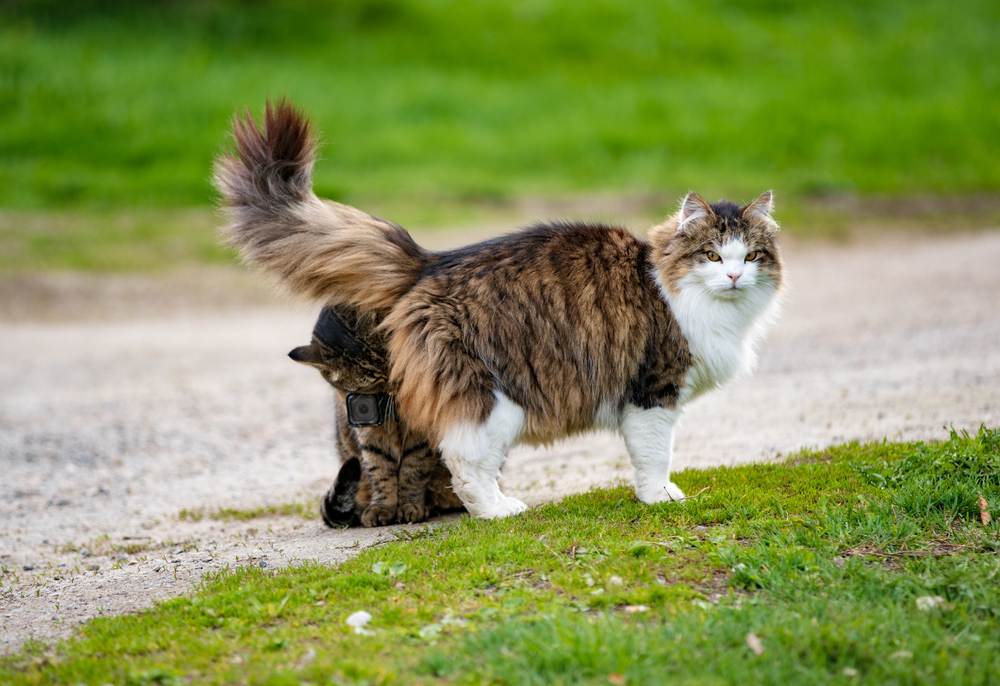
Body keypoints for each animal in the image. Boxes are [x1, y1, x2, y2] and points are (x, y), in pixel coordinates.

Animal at [215, 101, 784, 520]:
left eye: (752, 256)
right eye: (712, 255)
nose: (734, 276)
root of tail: (430, 260)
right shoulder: (653, 393)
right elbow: (655, 458)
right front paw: (659, 498)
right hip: (494, 401)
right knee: (461, 464)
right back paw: (500, 511)